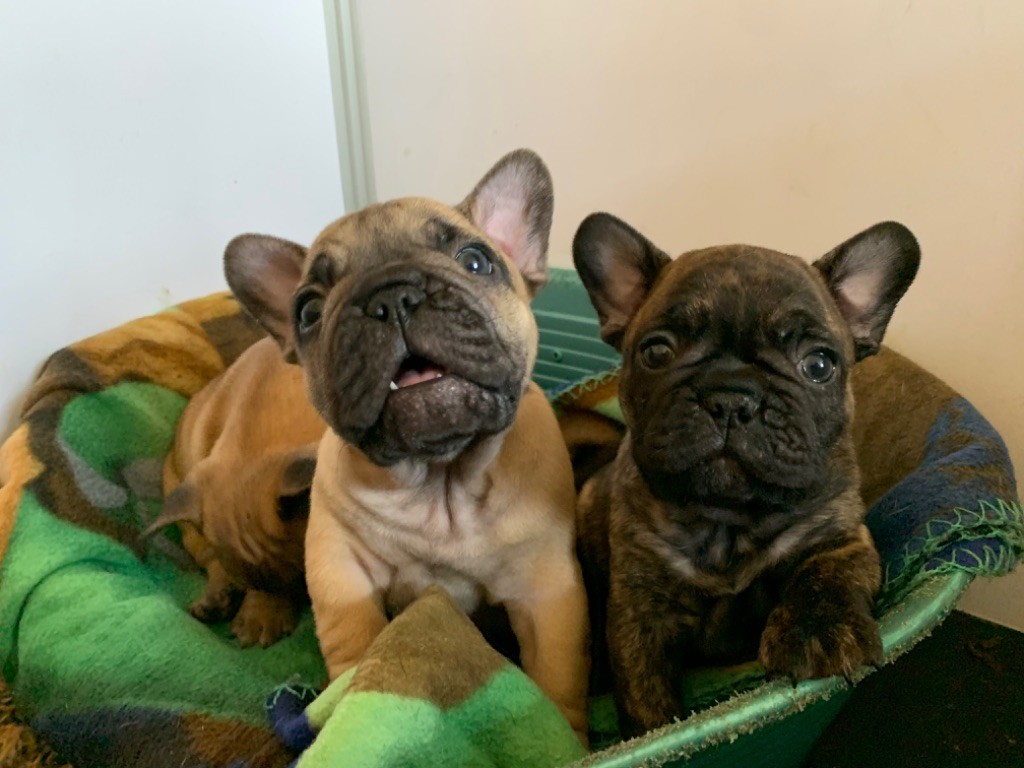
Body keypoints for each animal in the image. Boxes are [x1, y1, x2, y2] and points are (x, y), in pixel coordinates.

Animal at [222, 149, 590, 742]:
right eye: (308, 311)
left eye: (476, 262)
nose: (390, 296)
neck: (440, 481)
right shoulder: (339, 564)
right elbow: (355, 638)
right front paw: (347, 703)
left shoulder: (546, 588)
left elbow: (557, 675)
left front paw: (565, 737)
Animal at [571, 213, 920, 737]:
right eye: (656, 352)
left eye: (819, 364)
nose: (731, 396)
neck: (728, 520)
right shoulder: (640, 615)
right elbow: (647, 702)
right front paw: (664, 731)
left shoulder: (842, 535)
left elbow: (826, 572)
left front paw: (819, 630)